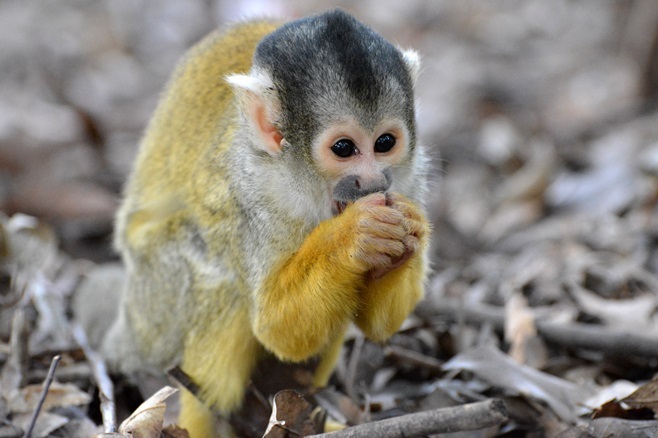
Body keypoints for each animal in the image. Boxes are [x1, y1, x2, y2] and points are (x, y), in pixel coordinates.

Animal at [104, 8, 430, 436]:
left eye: (385, 143)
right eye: (344, 148)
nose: (373, 181)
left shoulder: (409, 179)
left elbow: (377, 325)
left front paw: (406, 231)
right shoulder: (252, 190)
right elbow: (277, 328)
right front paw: (353, 236)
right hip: (152, 309)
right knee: (217, 275)